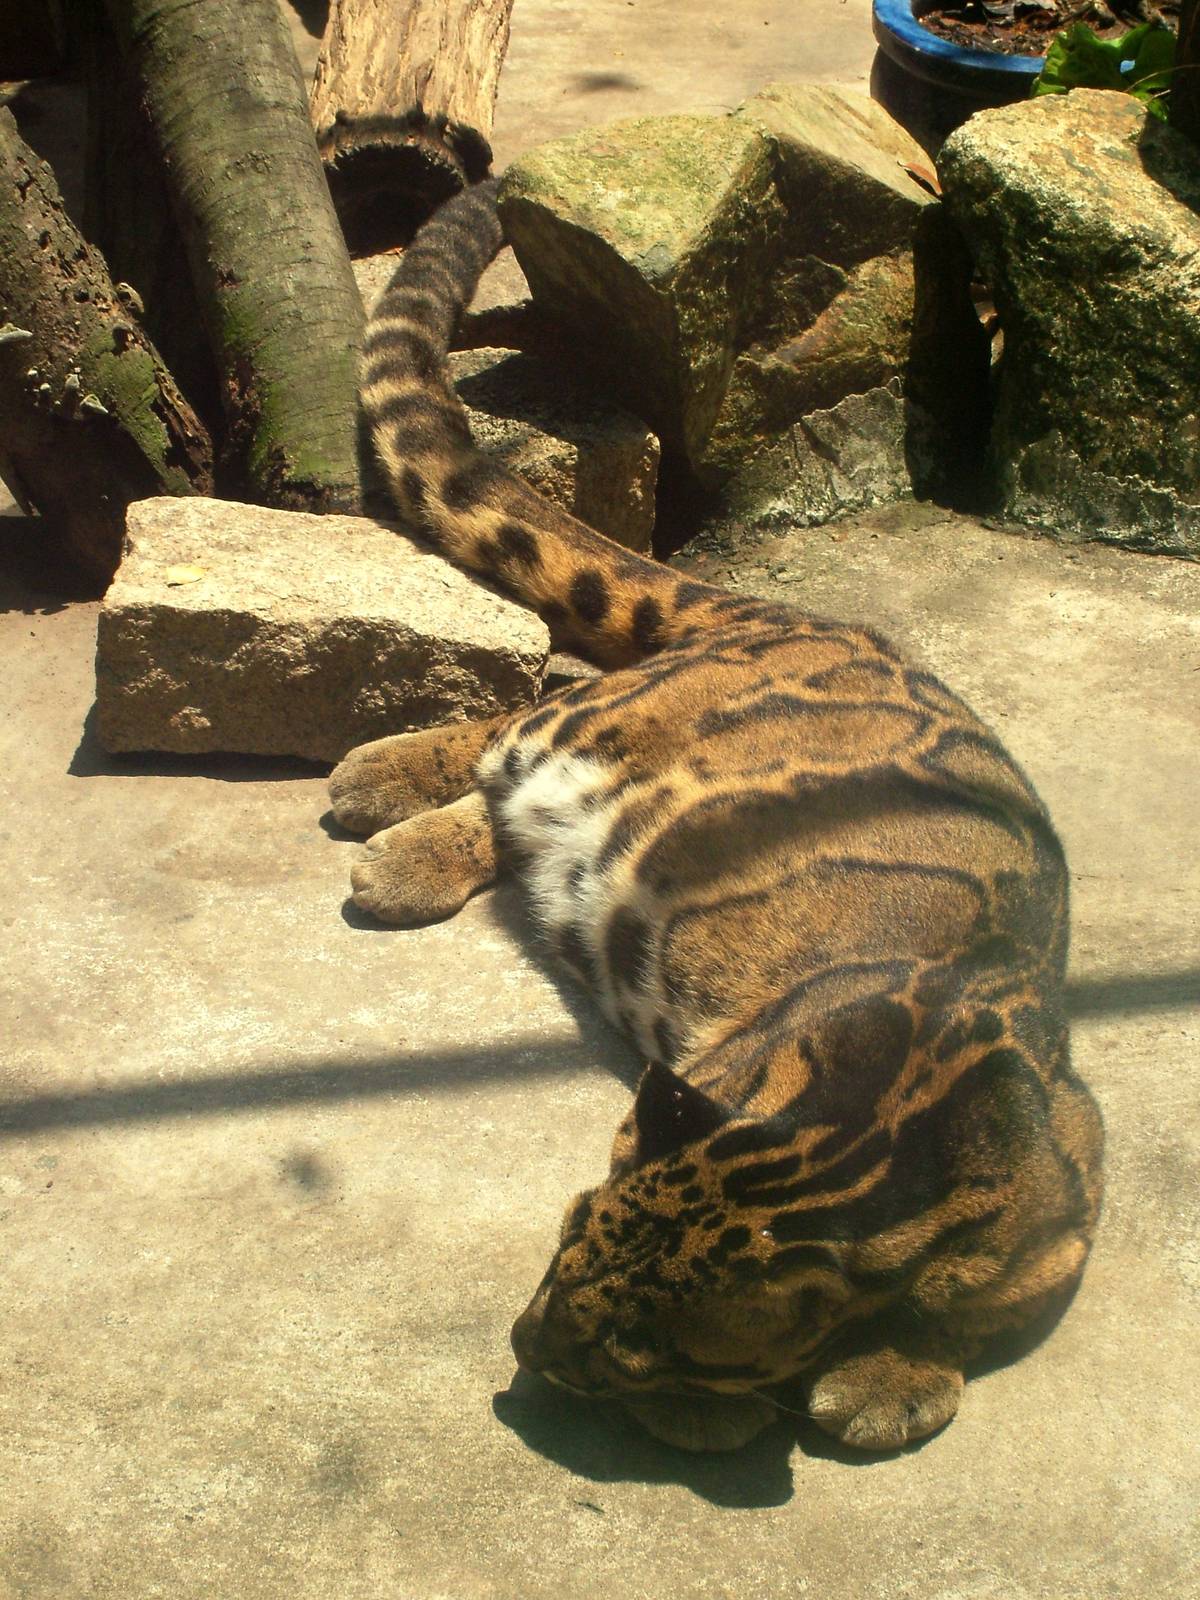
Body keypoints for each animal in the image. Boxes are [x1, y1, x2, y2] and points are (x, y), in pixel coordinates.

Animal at [329, 177, 1104, 1454]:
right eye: (566, 1234)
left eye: (647, 1343)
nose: (527, 1349)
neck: (878, 1135)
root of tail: (817, 621)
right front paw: (739, 1420)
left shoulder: (1068, 1187)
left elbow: (989, 1305)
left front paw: (891, 1374)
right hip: (603, 712)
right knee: (513, 712)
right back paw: (386, 799)